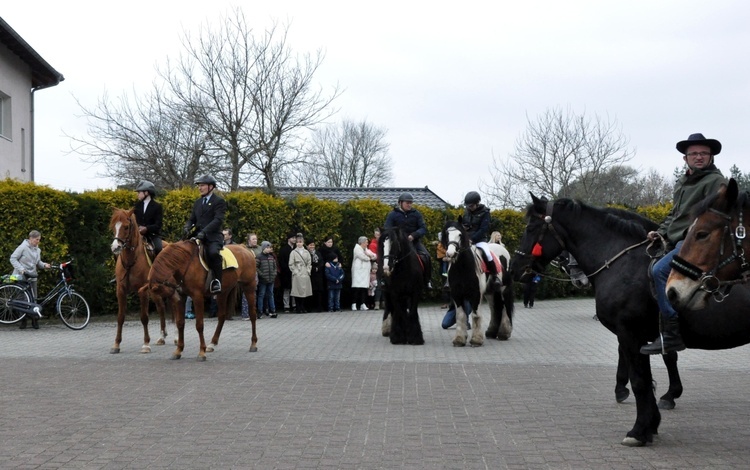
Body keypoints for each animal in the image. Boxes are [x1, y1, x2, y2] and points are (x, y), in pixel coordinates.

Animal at [110, 207, 172, 354]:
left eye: (126, 227)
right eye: (114, 227)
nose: (115, 247)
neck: (131, 259)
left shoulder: (142, 291)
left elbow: (144, 317)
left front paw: (146, 344)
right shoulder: (120, 290)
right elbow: (120, 317)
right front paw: (116, 344)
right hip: (155, 291)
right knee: (161, 307)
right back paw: (162, 336)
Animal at [516, 194, 750, 444]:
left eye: (531, 228)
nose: (515, 268)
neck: (622, 261)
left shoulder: (629, 333)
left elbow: (640, 380)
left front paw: (639, 429)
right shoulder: (640, 337)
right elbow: (647, 375)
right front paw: (652, 421)